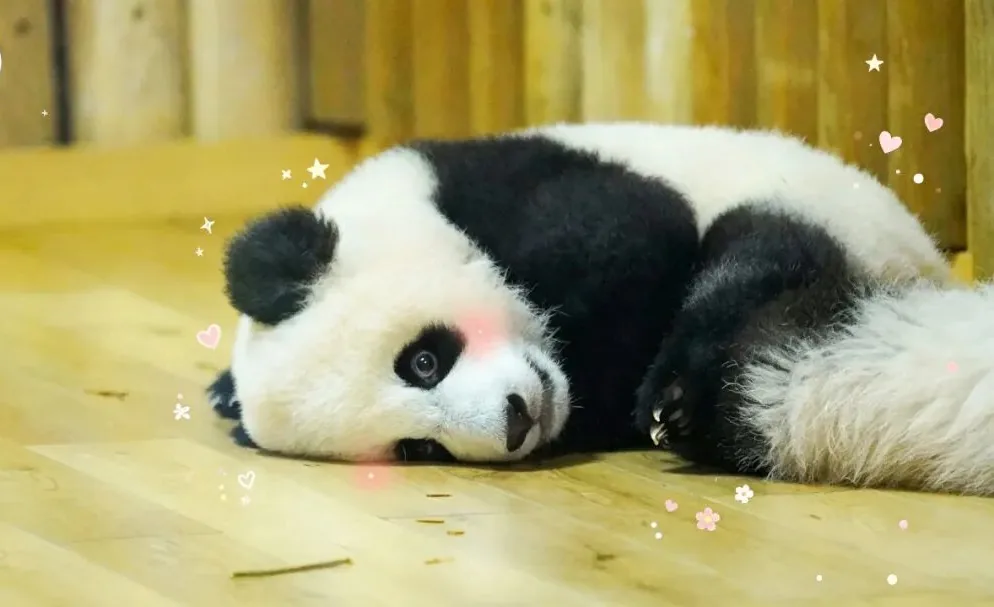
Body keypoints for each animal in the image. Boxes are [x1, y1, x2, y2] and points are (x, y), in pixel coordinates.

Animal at [208, 122, 994, 496]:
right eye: (417, 448)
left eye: (423, 360)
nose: (516, 420)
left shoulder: (503, 179)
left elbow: (634, 239)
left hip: (836, 215)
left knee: (758, 260)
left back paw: (681, 397)